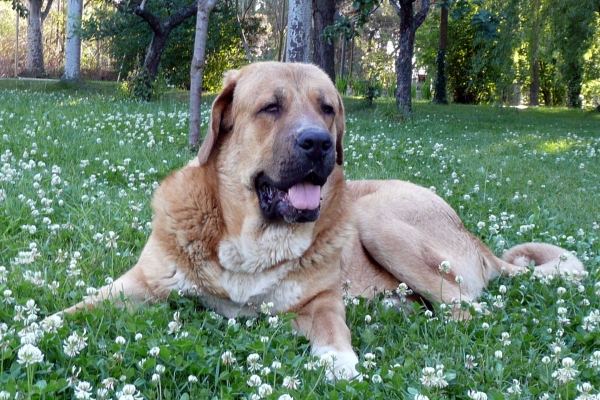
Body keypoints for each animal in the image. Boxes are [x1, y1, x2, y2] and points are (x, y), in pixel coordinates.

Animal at [58, 61, 584, 378]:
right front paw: (45, 329)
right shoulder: (140, 285)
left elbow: (334, 333)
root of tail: (477, 242)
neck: (250, 240)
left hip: (377, 219)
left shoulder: (322, 303)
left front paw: (340, 365)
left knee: (465, 311)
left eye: (328, 108)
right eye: (270, 107)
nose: (319, 143)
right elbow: (74, 311)